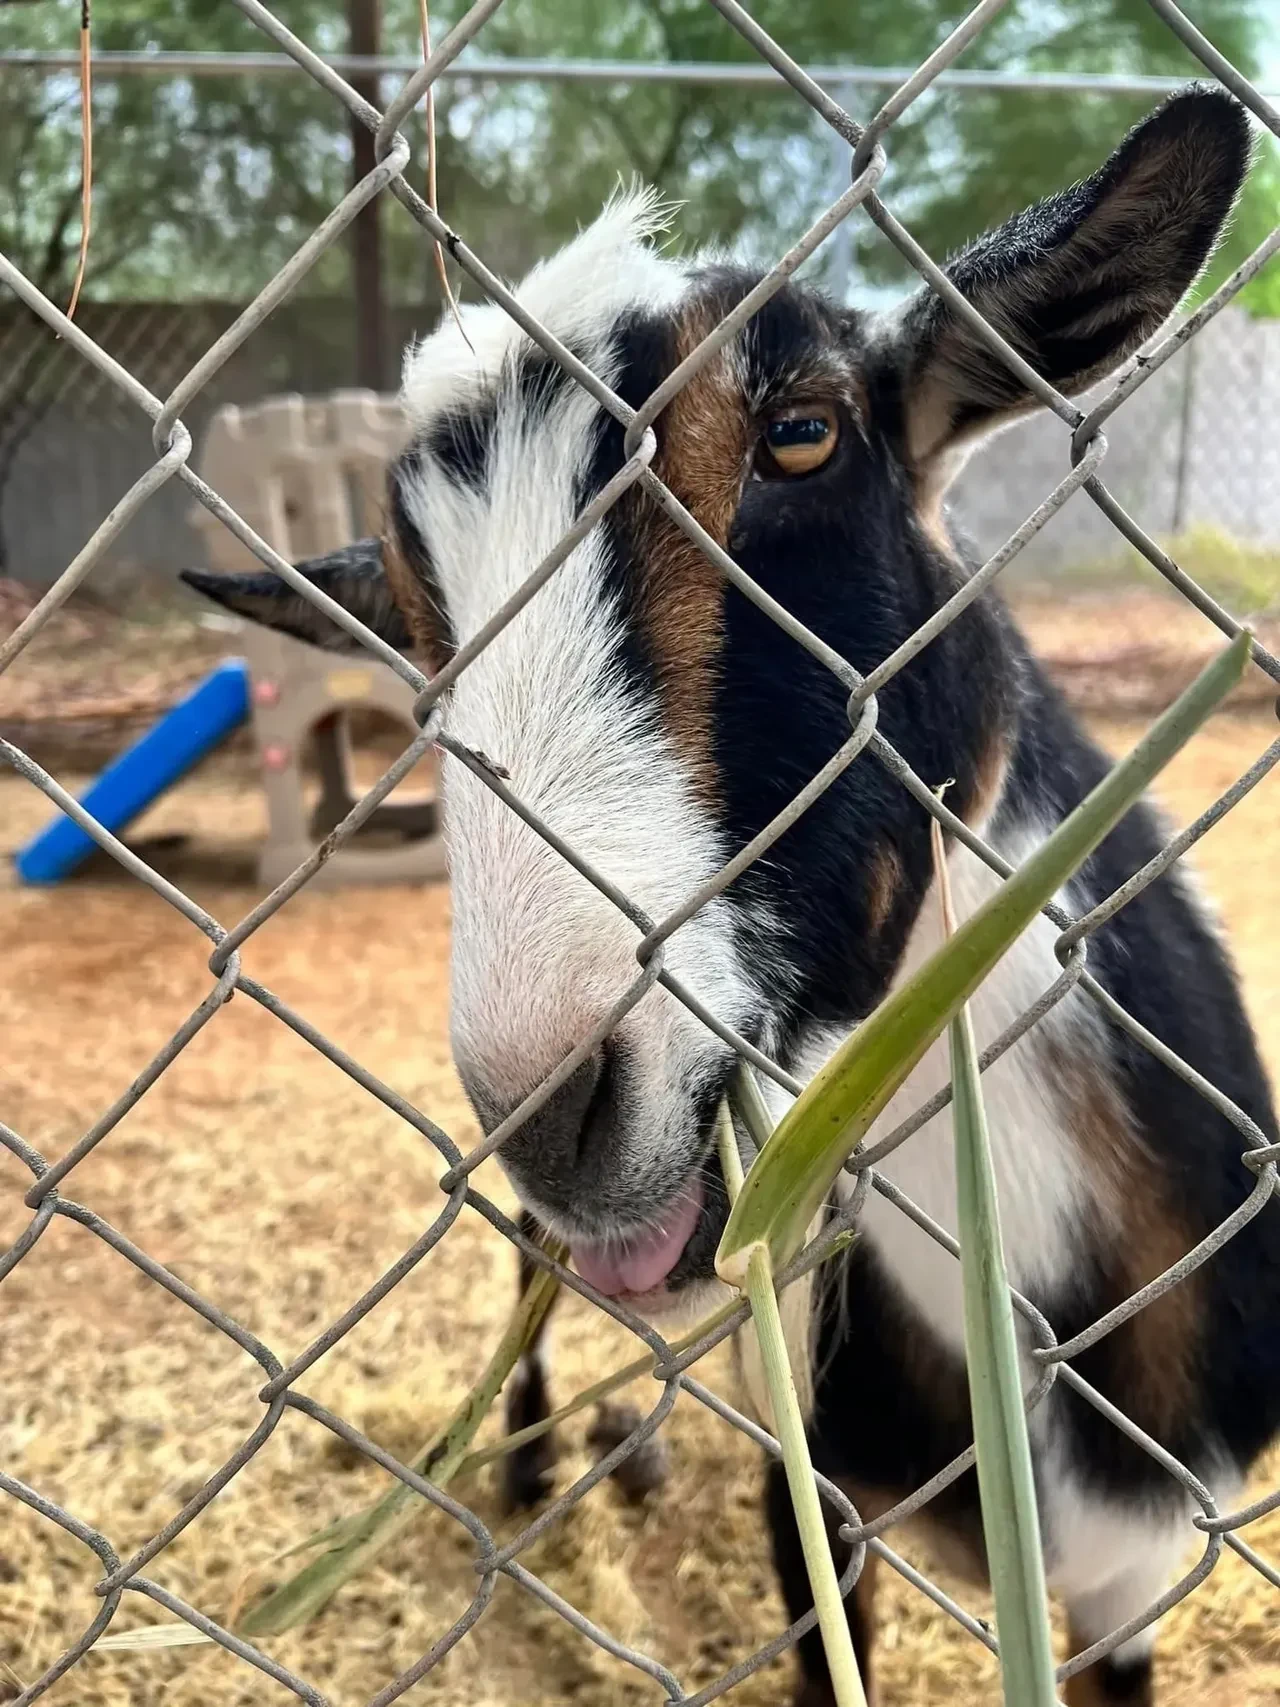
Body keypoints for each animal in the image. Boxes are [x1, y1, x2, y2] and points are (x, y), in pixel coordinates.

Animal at [186, 87, 1280, 1707]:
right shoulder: (817, 1497)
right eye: (413, 611)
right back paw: (540, 1457)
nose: (550, 1105)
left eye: (802, 436)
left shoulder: (1138, 1573)